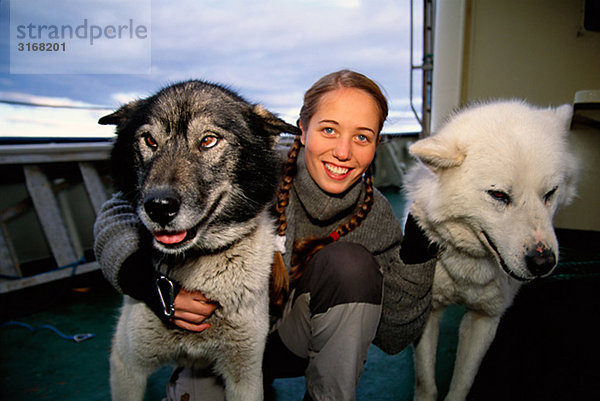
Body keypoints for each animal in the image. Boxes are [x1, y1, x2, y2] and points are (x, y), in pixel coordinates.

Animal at [98, 80, 300, 400]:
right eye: (150, 141)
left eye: (208, 141)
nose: (159, 207)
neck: (200, 264)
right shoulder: (126, 367)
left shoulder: (245, 376)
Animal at [406, 101, 580, 400]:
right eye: (499, 195)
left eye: (550, 193)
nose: (543, 262)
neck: (468, 268)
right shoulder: (430, 312)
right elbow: (426, 383)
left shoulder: (484, 320)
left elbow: (461, 384)